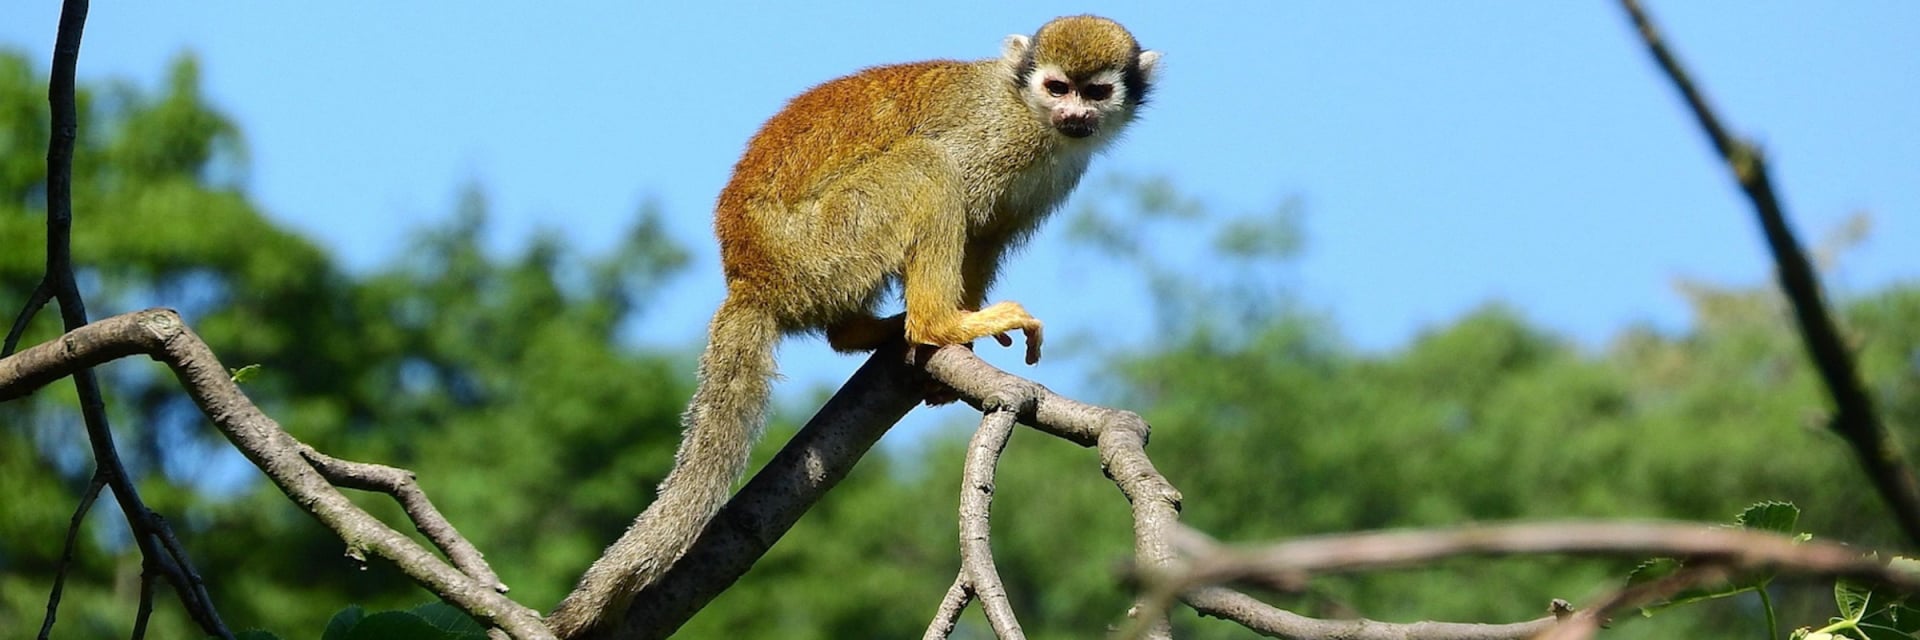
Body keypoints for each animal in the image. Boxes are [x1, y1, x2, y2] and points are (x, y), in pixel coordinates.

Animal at [547, 15, 1159, 638]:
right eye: (1057, 87)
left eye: (1095, 92)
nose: (1074, 116)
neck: (1030, 115)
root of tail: (751, 278)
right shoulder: (996, 135)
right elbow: (962, 193)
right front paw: (954, 325)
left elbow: (989, 234)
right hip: (823, 244)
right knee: (925, 165)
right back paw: (934, 322)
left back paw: (866, 333)